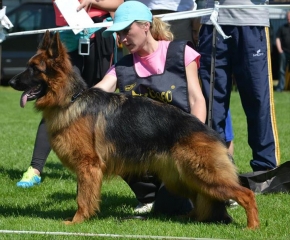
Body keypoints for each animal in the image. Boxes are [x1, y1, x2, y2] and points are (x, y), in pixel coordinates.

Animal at [9, 30, 260, 229]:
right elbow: (84, 195)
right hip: (182, 178)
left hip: (203, 174)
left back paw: (252, 226)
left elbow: (82, 198)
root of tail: (207, 130)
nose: (10, 82)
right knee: (201, 200)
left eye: (34, 69)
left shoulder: (88, 166)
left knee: (246, 193)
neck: (71, 99)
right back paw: (190, 217)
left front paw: (77, 221)